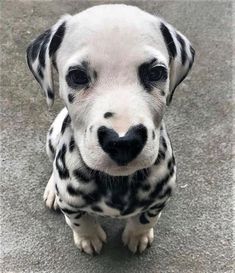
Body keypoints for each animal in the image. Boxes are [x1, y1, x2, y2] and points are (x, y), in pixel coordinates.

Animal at [26, 4, 195, 254]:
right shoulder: (71, 204)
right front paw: (88, 238)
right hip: (52, 134)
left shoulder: (159, 199)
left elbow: (146, 218)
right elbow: (80, 220)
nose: (123, 141)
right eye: (77, 76)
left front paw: (138, 235)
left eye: (156, 73)